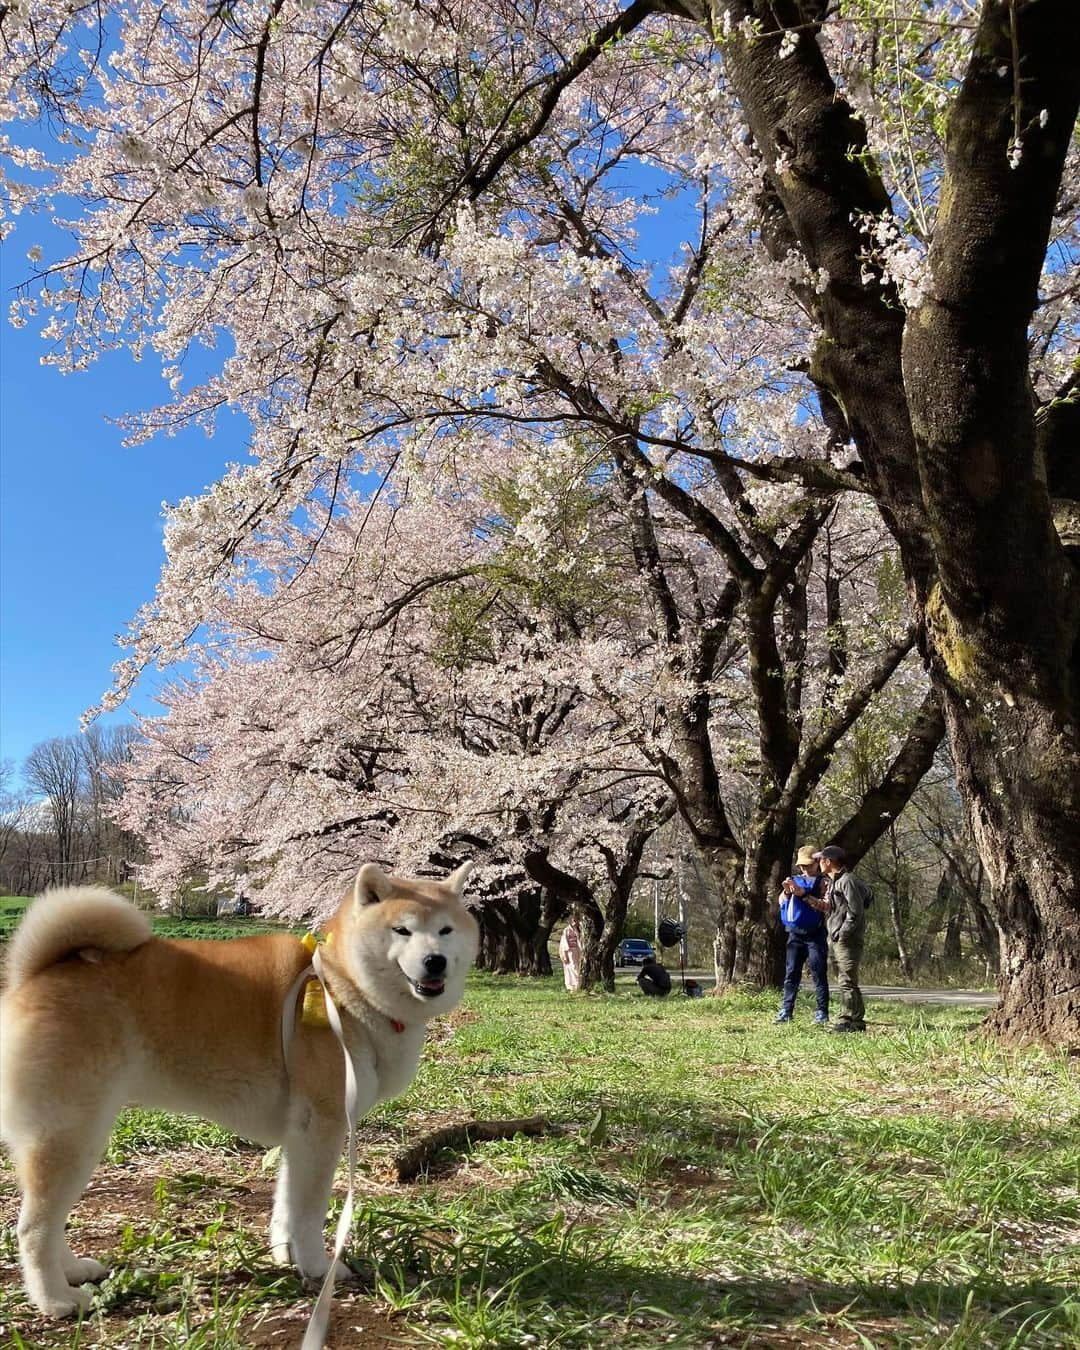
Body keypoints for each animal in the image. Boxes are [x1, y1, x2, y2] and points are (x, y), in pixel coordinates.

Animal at [0, 864, 477, 1317]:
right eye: (402, 930)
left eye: (445, 931)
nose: (435, 961)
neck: (343, 988)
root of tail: (34, 974)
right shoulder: (323, 1126)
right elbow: (308, 1211)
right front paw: (319, 1268)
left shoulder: (300, 1135)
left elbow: (287, 1205)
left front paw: (288, 1256)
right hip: (69, 1134)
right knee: (33, 1227)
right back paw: (55, 1299)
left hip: (84, 1135)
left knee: (51, 1219)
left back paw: (73, 1270)